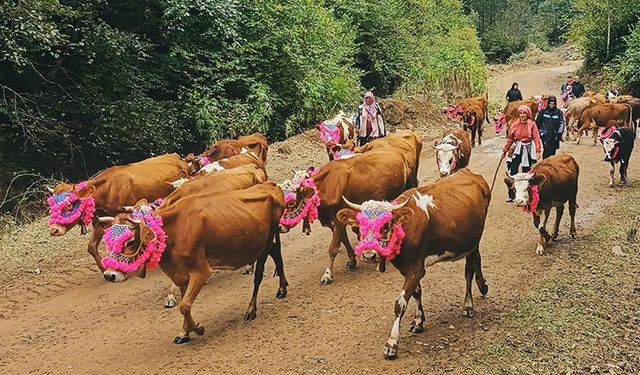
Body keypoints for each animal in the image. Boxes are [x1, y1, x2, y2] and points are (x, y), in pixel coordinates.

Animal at [101, 184, 286, 346]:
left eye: (131, 241)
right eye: (109, 241)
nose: (109, 275)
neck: (174, 230)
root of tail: (271, 186)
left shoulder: (201, 271)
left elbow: (184, 305)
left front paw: (197, 328)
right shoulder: (181, 276)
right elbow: (185, 305)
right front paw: (185, 332)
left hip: (265, 242)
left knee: (259, 274)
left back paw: (251, 309)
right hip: (263, 242)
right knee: (276, 254)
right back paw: (282, 288)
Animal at [278, 151, 410, 284]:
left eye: (291, 202)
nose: (279, 227)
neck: (326, 185)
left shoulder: (337, 220)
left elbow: (333, 248)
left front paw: (327, 274)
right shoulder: (335, 220)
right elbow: (343, 239)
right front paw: (352, 260)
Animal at [336, 169, 490, 360]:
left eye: (386, 226)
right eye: (360, 226)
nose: (369, 255)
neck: (405, 228)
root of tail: (469, 172)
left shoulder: (416, 269)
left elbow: (400, 303)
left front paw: (392, 343)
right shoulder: (407, 267)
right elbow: (417, 293)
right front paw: (418, 321)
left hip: (471, 244)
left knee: (469, 270)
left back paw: (469, 304)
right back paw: (481, 286)